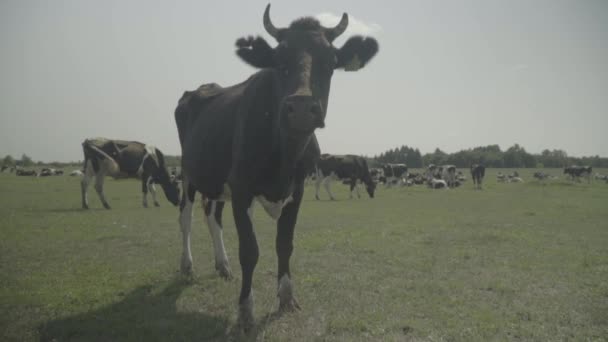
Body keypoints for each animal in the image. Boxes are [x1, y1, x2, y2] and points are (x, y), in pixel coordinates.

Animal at [173, 4, 378, 332]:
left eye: (331, 63)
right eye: (279, 61)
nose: (302, 107)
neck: (283, 155)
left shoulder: (297, 190)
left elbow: (285, 244)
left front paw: (286, 298)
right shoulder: (242, 189)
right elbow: (250, 251)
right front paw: (246, 310)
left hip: (217, 184)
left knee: (212, 217)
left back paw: (222, 265)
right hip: (189, 174)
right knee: (186, 218)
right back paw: (188, 265)